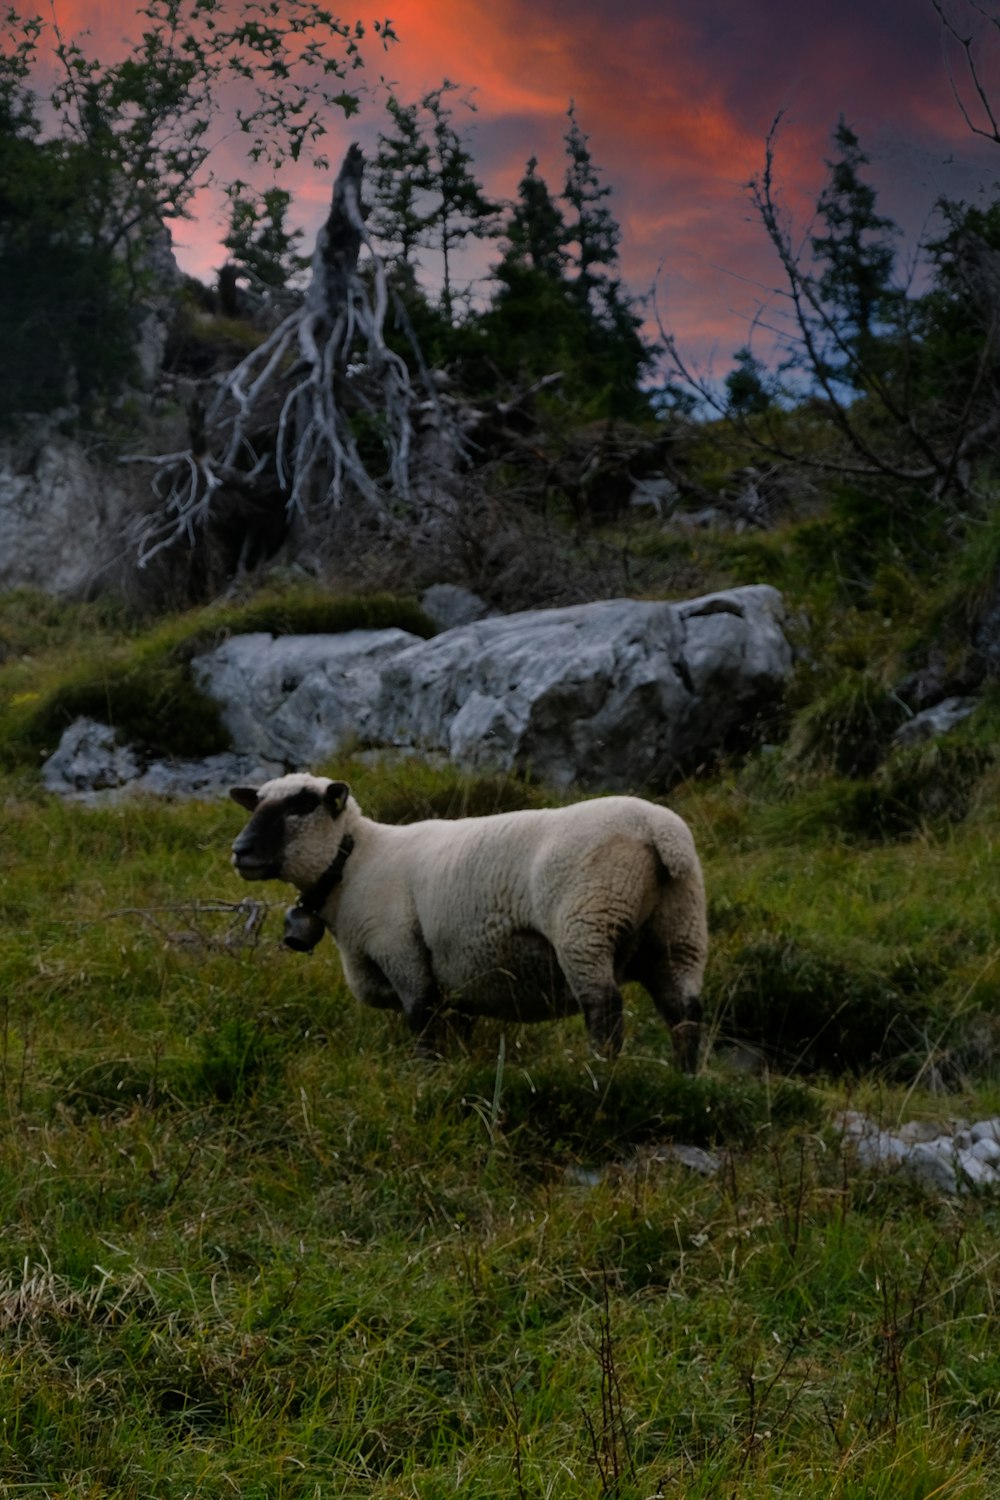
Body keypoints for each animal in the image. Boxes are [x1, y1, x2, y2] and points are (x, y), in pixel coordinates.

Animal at [230, 774, 707, 1068]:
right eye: (255, 804)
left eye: (302, 805)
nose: (239, 850)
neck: (354, 860)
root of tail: (660, 832)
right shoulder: (452, 982)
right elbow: (453, 1027)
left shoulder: (400, 950)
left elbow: (421, 1019)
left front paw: (425, 1075)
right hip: (680, 930)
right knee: (684, 1011)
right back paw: (684, 1078)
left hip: (587, 925)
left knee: (604, 1009)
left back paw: (599, 1073)